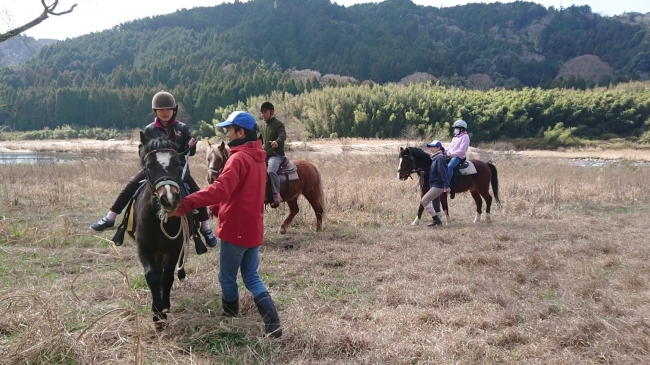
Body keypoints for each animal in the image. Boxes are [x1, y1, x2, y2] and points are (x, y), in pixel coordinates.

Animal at [128, 131, 192, 324]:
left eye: (177, 163)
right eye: (149, 166)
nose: (169, 198)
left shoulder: (174, 249)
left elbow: (167, 277)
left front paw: (164, 307)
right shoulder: (144, 248)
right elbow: (152, 275)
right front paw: (157, 311)